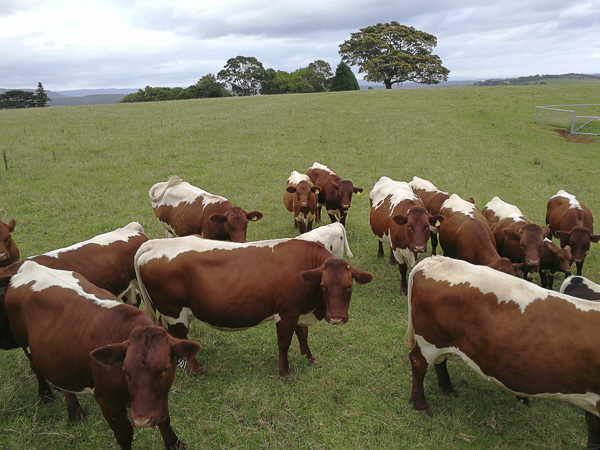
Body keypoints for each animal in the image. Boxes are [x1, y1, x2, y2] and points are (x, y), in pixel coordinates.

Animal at [2, 260, 199, 450]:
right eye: (125, 370)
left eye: (166, 369)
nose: (142, 420)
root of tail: (30, 266)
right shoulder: (106, 401)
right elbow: (124, 436)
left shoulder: (159, 395)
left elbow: (164, 419)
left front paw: (175, 444)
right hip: (24, 343)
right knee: (35, 367)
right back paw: (46, 395)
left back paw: (74, 411)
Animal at [135, 237, 370, 378]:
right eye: (323, 286)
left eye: (349, 287)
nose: (337, 317)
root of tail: (156, 244)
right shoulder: (286, 313)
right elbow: (284, 343)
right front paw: (284, 370)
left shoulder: (300, 311)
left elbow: (303, 335)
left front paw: (309, 357)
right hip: (175, 312)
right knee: (181, 336)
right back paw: (196, 369)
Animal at [406, 255, 600, 448]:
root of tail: (435, 260)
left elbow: (592, 428)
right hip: (430, 340)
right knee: (418, 363)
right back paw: (421, 404)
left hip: (442, 340)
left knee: (440, 361)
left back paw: (448, 389)